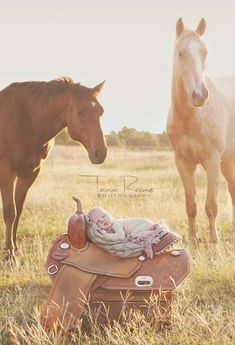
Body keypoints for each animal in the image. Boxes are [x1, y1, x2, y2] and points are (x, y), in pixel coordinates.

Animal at [0, 78, 106, 255]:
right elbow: (10, 211)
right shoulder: (7, 171)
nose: (101, 153)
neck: (26, 118)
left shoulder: (30, 173)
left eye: (101, 112)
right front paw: (9, 254)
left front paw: (16, 249)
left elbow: (18, 210)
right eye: (79, 111)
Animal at [168, 18, 235, 242]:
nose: (200, 95)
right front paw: (191, 239)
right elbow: (191, 205)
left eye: (205, 53)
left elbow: (211, 206)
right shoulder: (183, 162)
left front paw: (215, 243)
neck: (191, 118)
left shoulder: (212, 160)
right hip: (228, 162)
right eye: (181, 53)